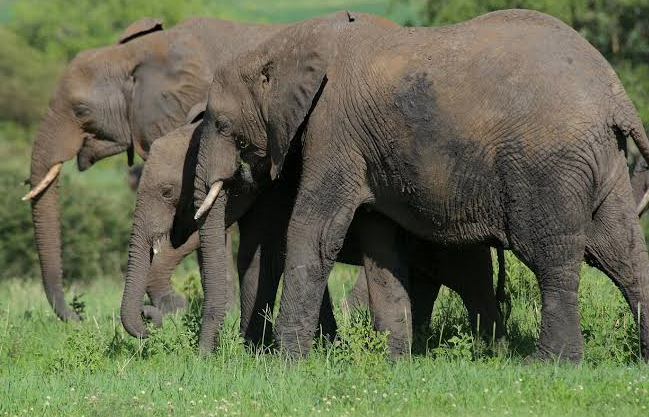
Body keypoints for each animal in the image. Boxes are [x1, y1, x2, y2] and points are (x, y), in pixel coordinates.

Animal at [121, 114, 506, 355]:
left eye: (168, 192)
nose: (150, 325)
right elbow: (260, 258)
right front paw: (322, 348)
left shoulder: (279, 193)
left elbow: (268, 258)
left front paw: (255, 351)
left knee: (471, 282)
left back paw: (491, 348)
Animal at [194, 10, 649, 362]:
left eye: (222, 125)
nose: (208, 359)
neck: (284, 43)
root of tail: (615, 95)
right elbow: (380, 244)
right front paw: (395, 362)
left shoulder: (334, 130)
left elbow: (315, 232)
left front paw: (285, 364)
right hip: (600, 161)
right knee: (619, 250)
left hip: (548, 164)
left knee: (551, 255)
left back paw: (546, 363)